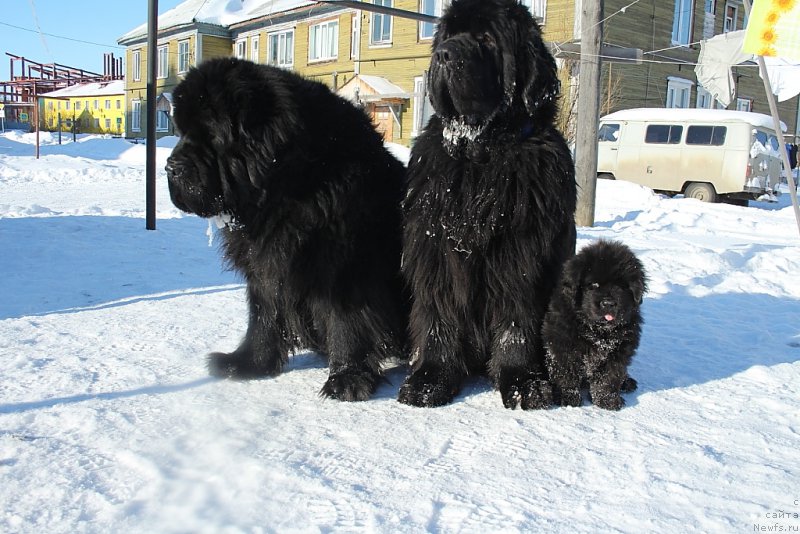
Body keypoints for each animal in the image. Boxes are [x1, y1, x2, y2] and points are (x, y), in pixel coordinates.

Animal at [166, 58, 410, 402]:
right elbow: (263, 316)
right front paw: (247, 363)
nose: (170, 167)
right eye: (181, 132)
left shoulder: (344, 266)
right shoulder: (266, 265)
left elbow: (347, 320)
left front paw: (347, 378)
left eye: (210, 134)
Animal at [400, 0, 576, 410]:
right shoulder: (437, 252)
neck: (481, 157)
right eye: (448, 36)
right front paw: (430, 380)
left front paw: (523, 383)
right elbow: (439, 317)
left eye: (486, 38)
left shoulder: (520, 257)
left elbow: (516, 322)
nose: (444, 55)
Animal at [540, 241, 648, 412]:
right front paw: (567, 398)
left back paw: (628, 383)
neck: (598, 332)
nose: (608, 303)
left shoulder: (619, 350)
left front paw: (607, 401)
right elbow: (565, 373)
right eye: (593, 285)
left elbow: (609, 377)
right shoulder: (562, 345)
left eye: (622, 286)